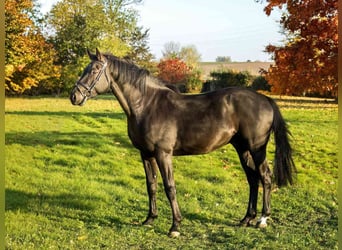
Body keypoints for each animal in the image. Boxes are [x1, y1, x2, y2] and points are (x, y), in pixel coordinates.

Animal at [69, 48, 294, 236]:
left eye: (94, 70)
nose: (74, 96)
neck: (147, 105)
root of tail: (265, 100)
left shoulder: (163, 154)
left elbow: (170, 187)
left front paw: (175, 226)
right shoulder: (146, 154)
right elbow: (151, 185)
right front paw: (149, 219)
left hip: (257, 148)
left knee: (265, 177)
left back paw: (263, 219)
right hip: (242, 148)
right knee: (253, 179)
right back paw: (247, 218)